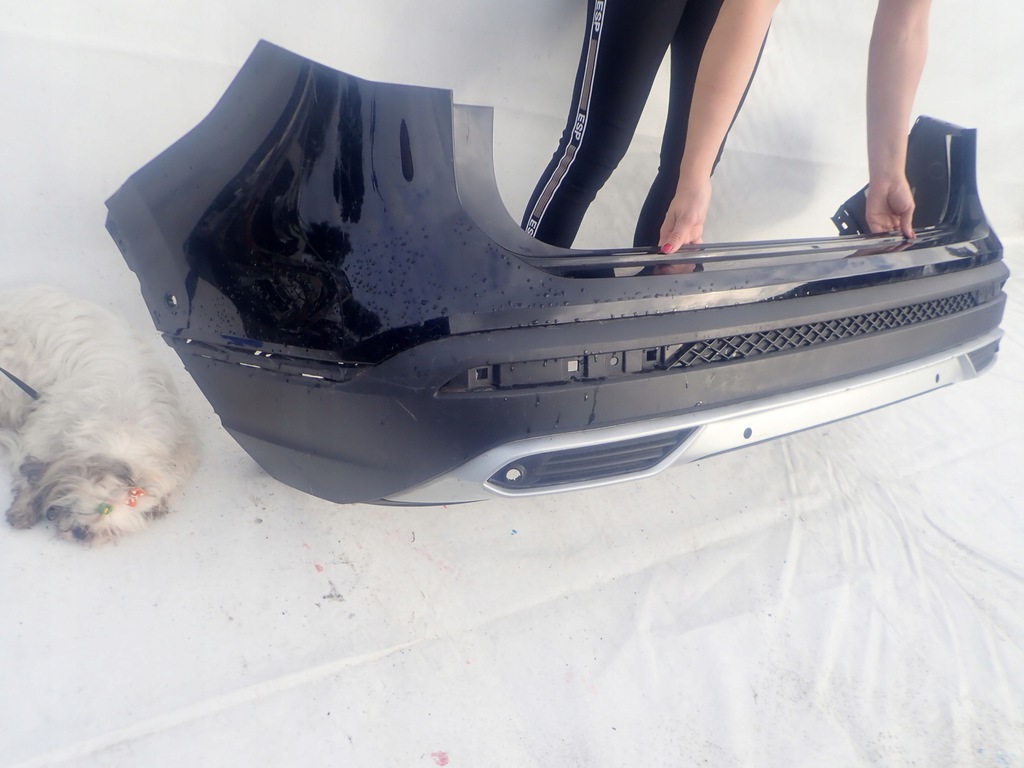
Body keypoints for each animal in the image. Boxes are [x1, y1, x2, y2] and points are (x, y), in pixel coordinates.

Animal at [0, 286, 197, 544]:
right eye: (99, 506)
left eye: (112, 529)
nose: (83, 533)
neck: (123, 427)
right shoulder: (46, 427)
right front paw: (24, 507)